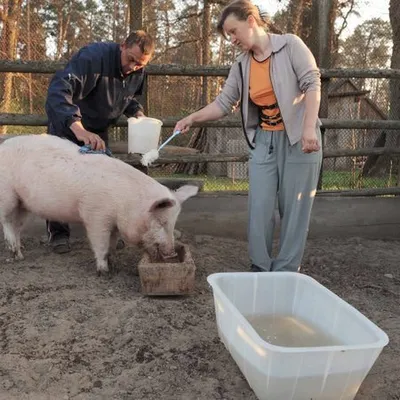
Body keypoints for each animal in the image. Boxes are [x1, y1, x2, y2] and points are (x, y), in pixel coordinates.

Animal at [0, 134, 199, 276]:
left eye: (173, 223)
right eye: (160, 223)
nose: (172, 254)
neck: (126, 202)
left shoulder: (114, 223)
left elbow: (112, 244)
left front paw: (114, 264)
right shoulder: (95, 216)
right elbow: (100, 244)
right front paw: (104, 272)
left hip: (23, 204)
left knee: (17, 226)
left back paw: (20, 253)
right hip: (7, 197)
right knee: (7, 223)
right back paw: (14, 254)